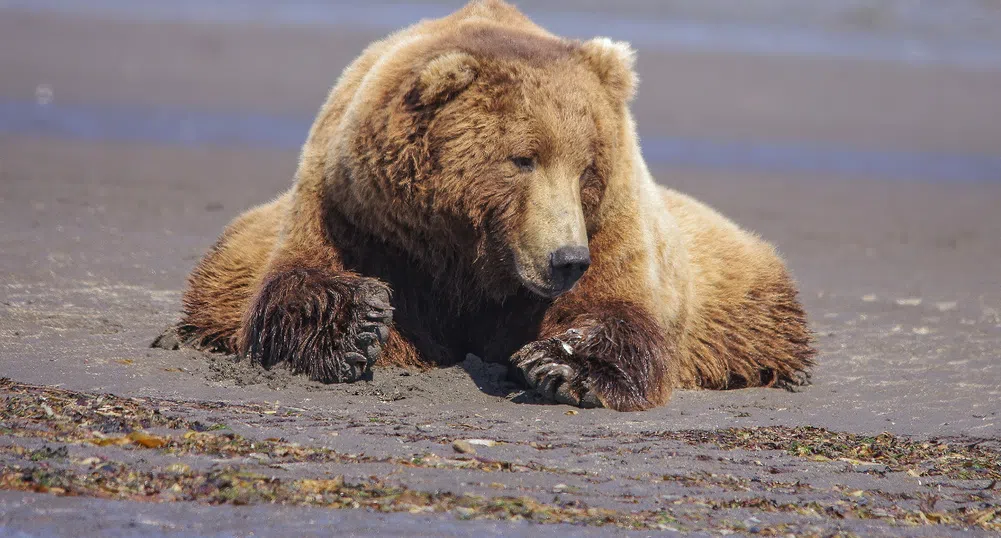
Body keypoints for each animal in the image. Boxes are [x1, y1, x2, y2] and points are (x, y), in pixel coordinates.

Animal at [178, 0, 812, 410]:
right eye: (523, 158)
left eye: (587, 167)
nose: (566, 260)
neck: (472, 256)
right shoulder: (356, 213)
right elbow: (299, 279)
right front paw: (361, 324)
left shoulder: (612, 225)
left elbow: (620, 310)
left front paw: (561, 364)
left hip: (733, 285)